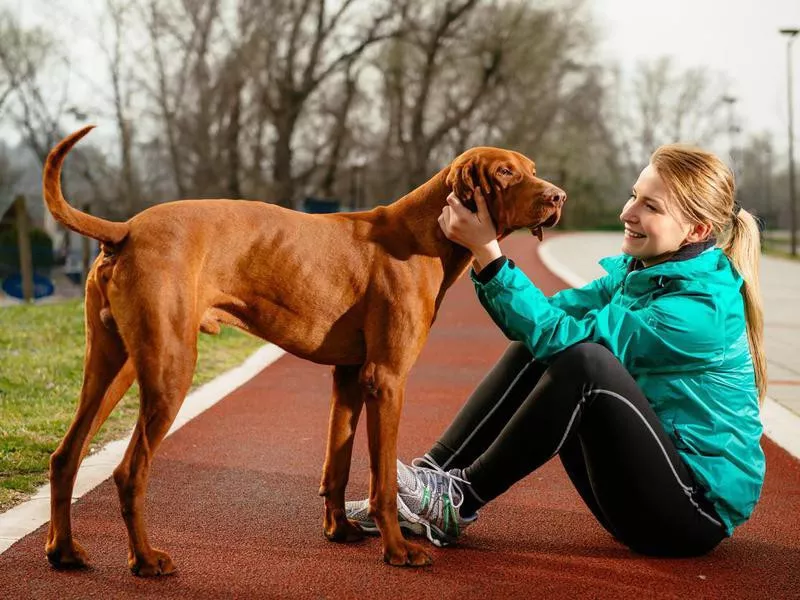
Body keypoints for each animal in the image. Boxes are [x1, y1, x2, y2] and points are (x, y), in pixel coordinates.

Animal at [43, 124, 564, 576]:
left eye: (532, 168)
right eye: (505, 172)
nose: (558, 196)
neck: (424, 234)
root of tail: (126, 228)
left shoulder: (350, 377)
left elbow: (338, 463)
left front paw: (340, 529)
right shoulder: (387, 378)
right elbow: (380, 480)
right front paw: (397, 551)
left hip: (113, 367)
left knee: (66, 455)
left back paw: (64, 551)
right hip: (170, 370)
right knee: (130, 471)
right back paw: (146, 560)